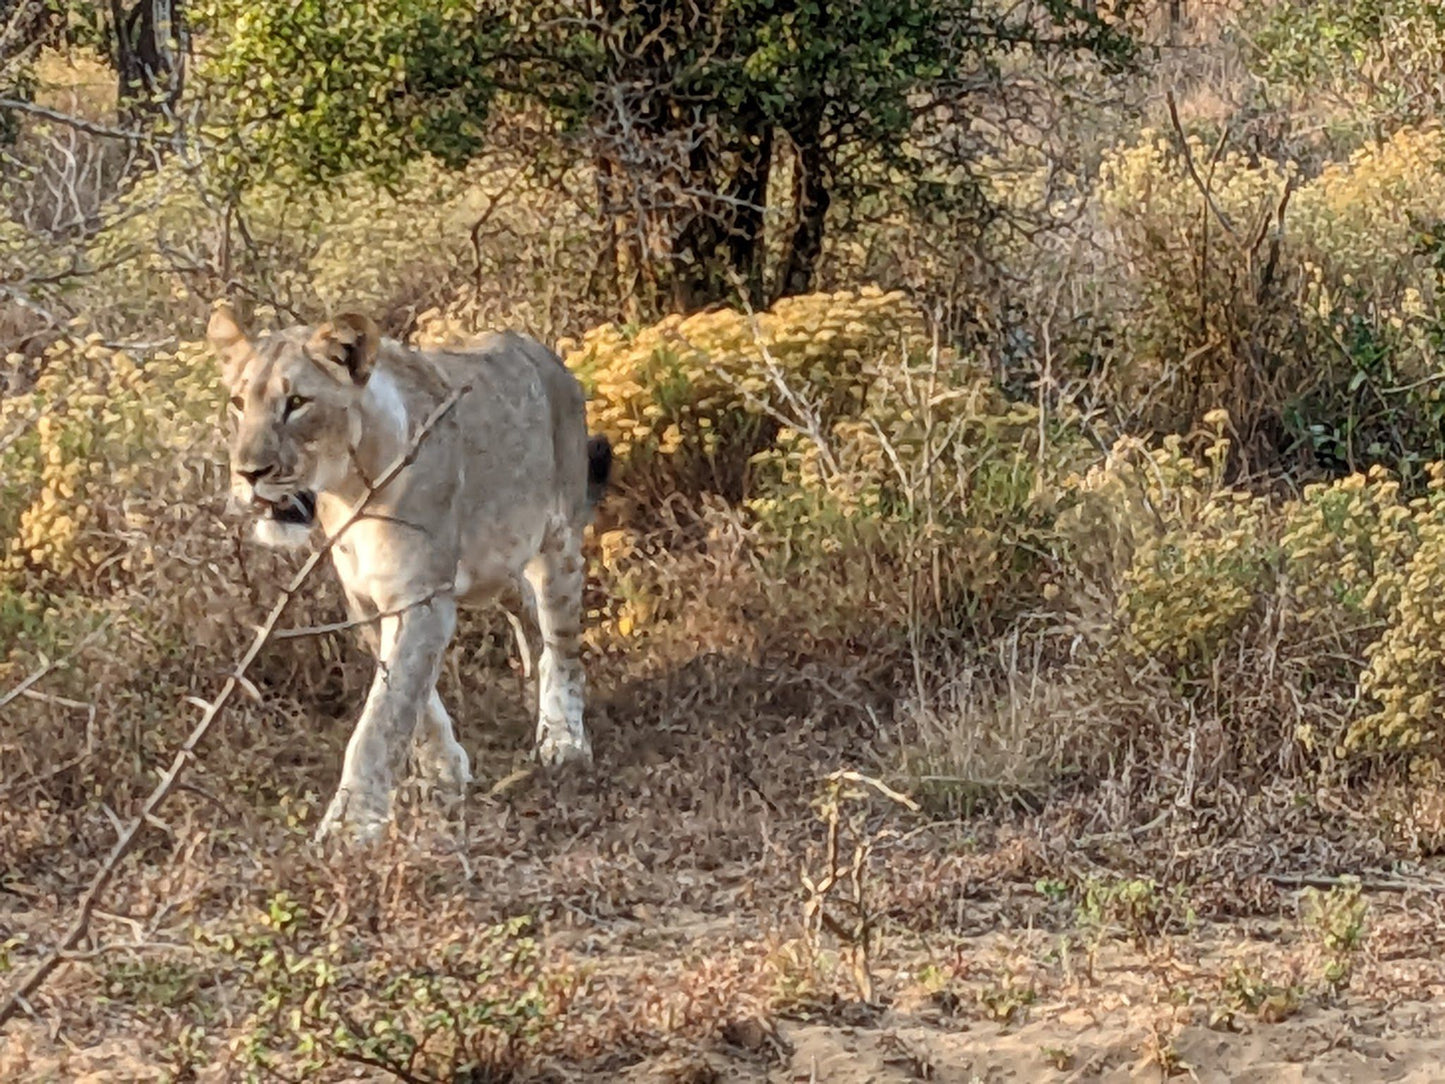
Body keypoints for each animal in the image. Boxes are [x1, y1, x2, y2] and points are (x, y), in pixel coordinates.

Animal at [206, 302, 606, 844]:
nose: (248, 474)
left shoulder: (422, 599)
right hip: (495, 566)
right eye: (236, 403)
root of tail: (549, 356)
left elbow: (385, 716)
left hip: (557, 543)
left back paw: (563, 739)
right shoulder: (366, 602)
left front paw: (350, 825)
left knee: (562, 644)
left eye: (297, 403)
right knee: (530, 619)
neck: (348, 494)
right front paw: (444, 773)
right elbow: (414, 702)